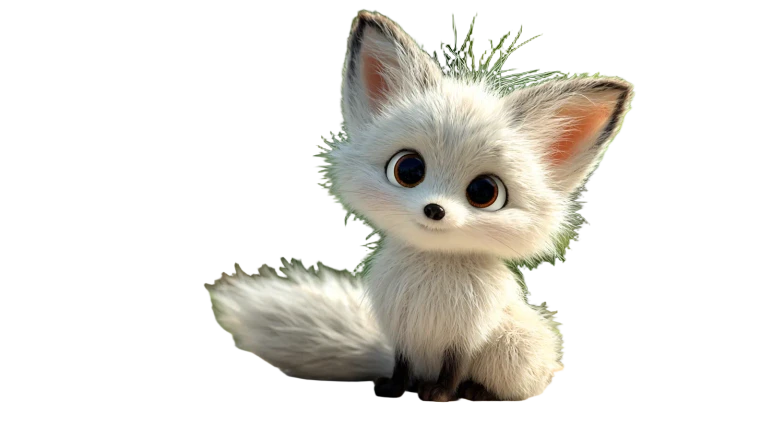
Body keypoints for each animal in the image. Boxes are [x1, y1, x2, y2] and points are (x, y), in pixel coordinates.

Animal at [208, 11, 633, 402]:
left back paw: (474, 391)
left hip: (513, 348)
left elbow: (453, 370)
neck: (431, 273)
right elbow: (401, 365)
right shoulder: (401, 329)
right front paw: (394, 389)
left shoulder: (466, 336)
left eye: (484, 192)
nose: (434, 210)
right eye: (408, 169)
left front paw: (440, 396)